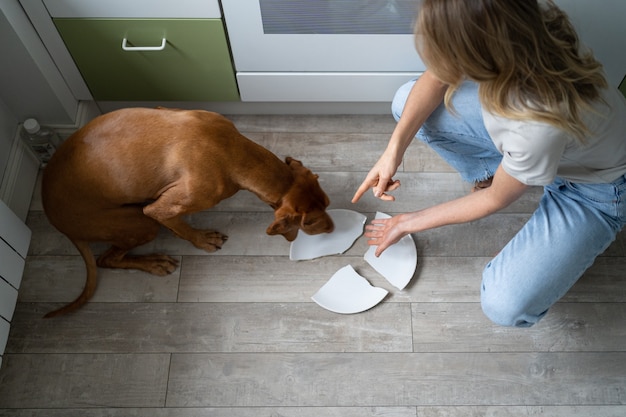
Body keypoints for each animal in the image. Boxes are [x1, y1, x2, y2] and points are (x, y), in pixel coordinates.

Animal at [39, 107, 334, 316]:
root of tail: (55, 220)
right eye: (310, 222)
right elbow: (180, 227)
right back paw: (154, 263)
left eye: (328, 203)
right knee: (107, 259)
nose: (332, 228)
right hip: (139, 224)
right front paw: (202, 240)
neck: (232, 150)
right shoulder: (163, 208)